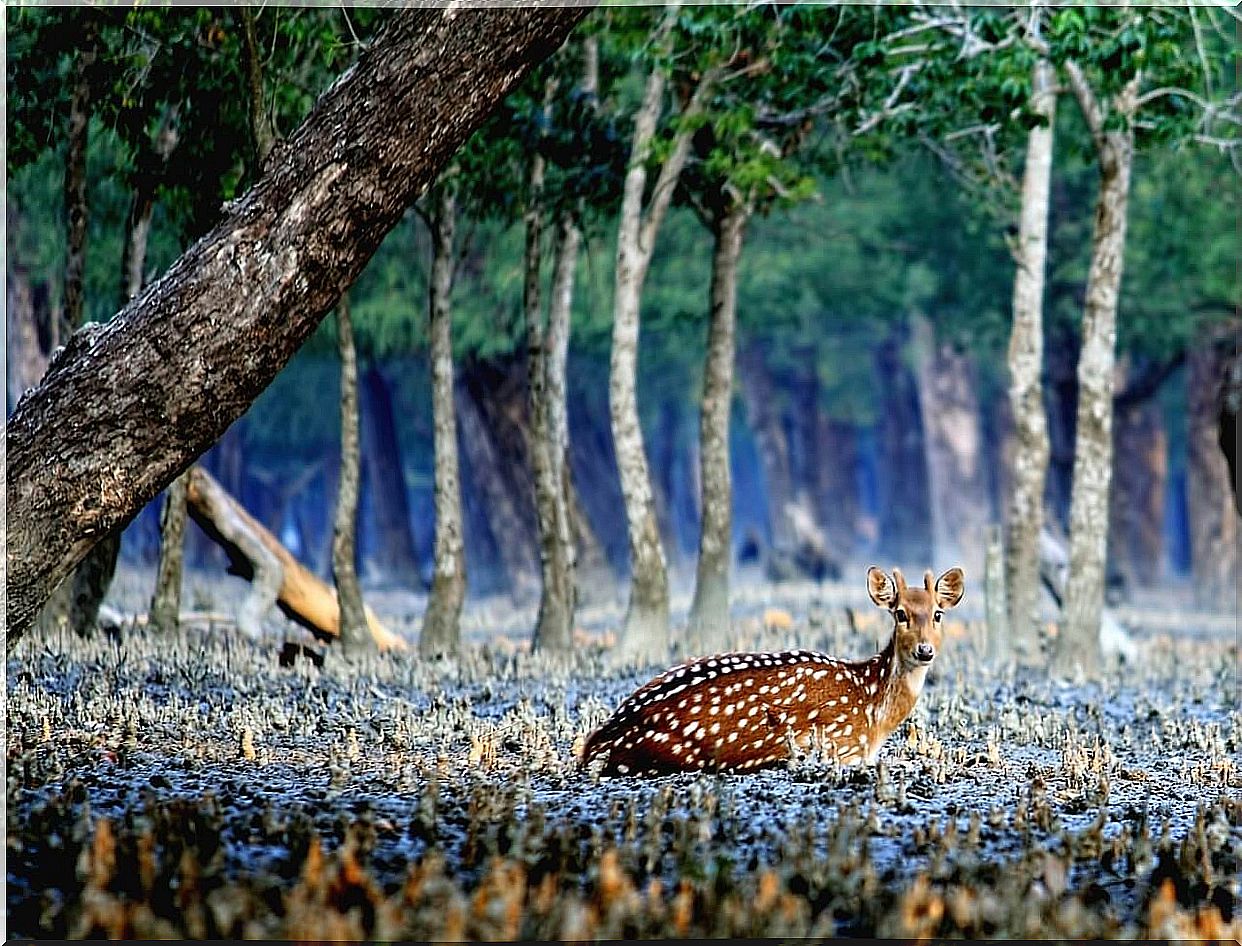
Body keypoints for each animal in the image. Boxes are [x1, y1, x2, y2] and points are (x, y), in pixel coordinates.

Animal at [583, 568, 968, 774]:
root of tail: (594, 745)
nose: (924, 650)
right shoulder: (841, 744)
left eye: (938, 613)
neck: (872, 709)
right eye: (900, 613)